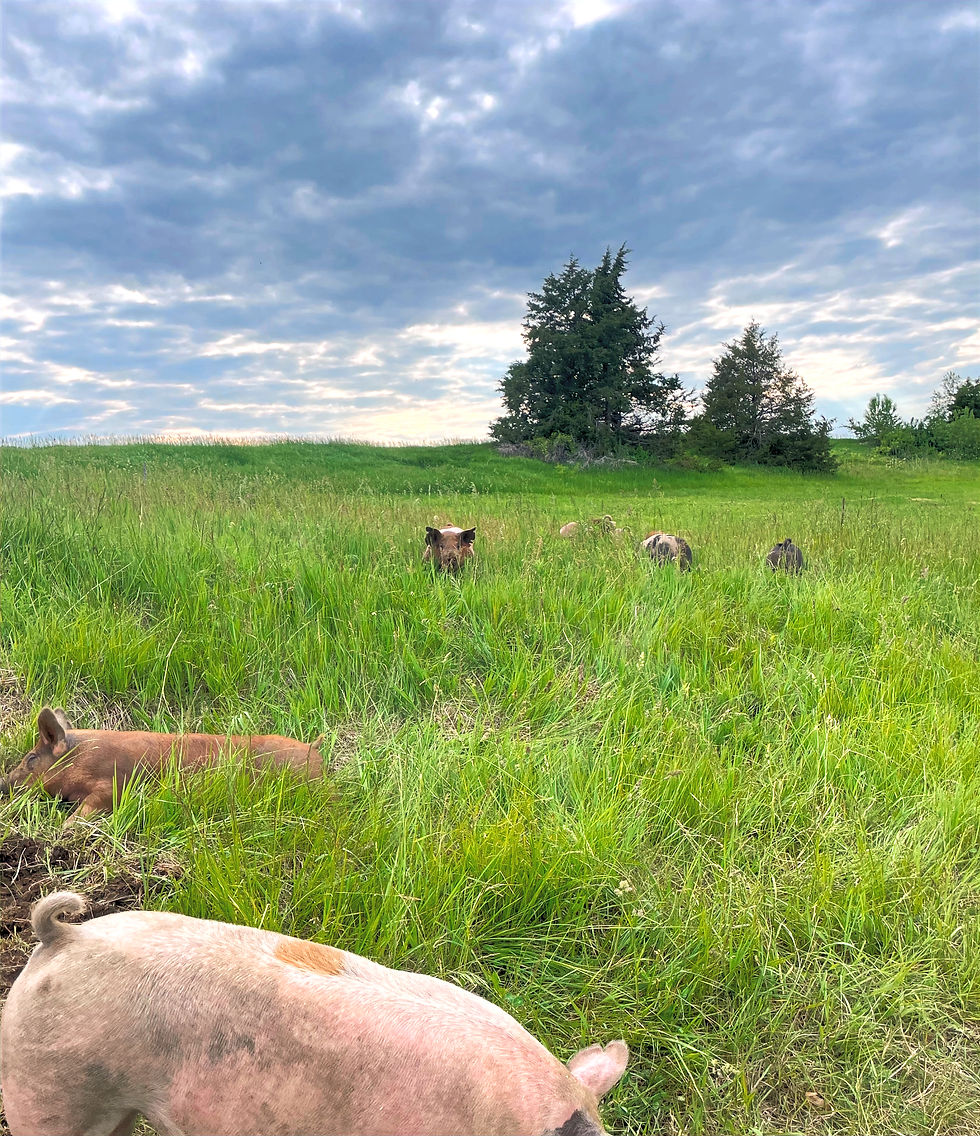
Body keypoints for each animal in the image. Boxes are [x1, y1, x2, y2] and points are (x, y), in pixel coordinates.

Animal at [0, 707, 324, 826]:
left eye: (31, 759)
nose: (4, 783)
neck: (81, 757)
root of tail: (314, 749)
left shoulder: (112, 783)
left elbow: (90, 808)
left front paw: (64, 828)